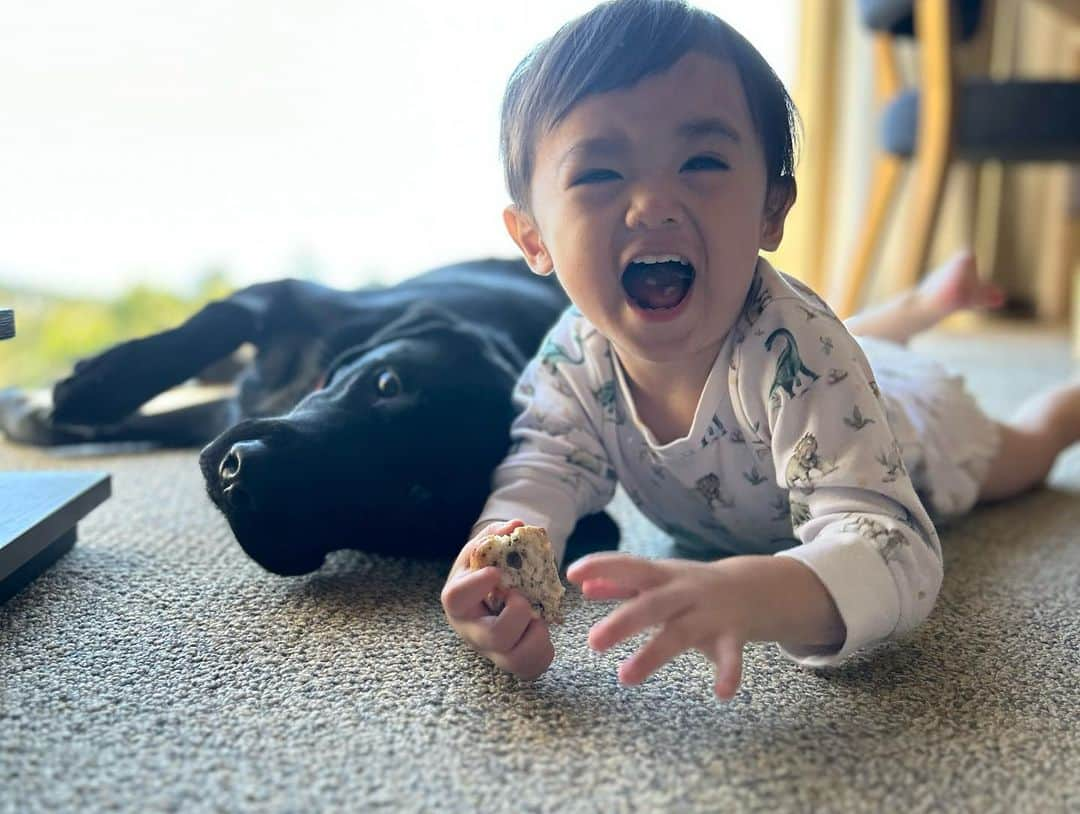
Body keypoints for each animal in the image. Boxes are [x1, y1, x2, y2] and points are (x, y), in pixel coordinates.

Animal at [0, 258, 617, 570]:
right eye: (386, 383)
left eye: (416, 496)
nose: (241, 474)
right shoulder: (288, 296)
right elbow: (209, 325)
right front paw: (87, 390)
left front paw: (53, 411)